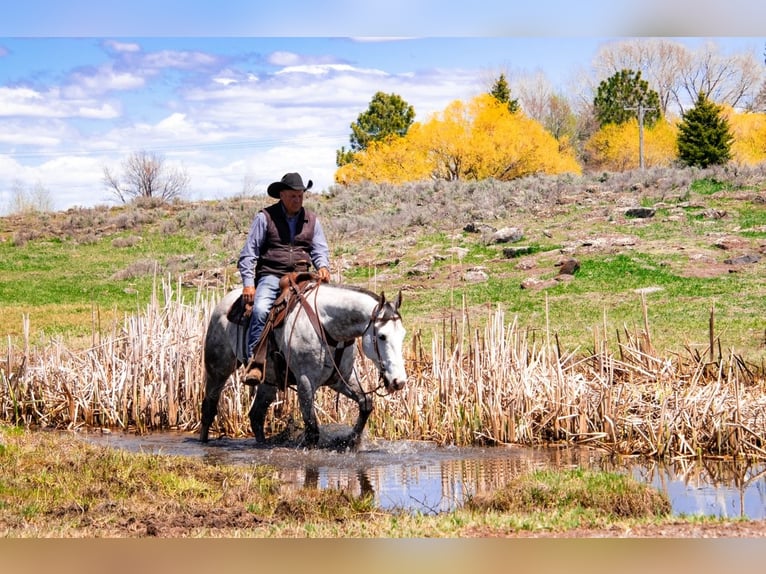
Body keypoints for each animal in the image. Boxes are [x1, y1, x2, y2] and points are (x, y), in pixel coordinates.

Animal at [201, 284, 412, 450]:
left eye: (403, 334)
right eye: (382, 336)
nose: (399, 381)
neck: (328, 327)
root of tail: (226, 301)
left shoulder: (341, 379)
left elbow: (366, 404)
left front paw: (351, 441)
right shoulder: (306, 382)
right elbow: (312, 429)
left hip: (268, 381)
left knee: (256, 415)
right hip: (218, 368)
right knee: (209, 406)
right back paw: (203, 441)